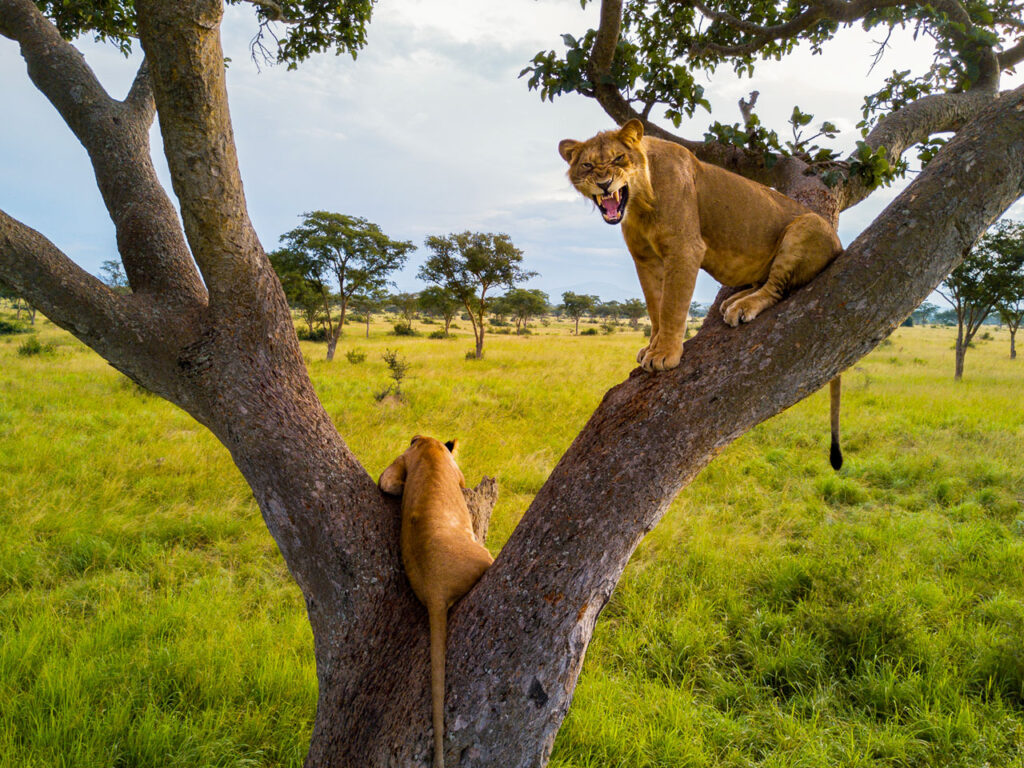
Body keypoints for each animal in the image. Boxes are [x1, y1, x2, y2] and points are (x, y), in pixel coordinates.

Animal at [378, 436, 493, 768]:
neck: (428, 446)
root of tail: (434, 590)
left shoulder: (398, 462)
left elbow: (387, 482)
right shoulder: (457, 473)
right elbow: (463, 480)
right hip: (484, 556)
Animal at [565, 120, 843, 468]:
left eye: (618, 158)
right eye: (587, 165)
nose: (604, 184)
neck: (639, 202)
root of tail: (840, 245)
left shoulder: (685, 249)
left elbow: (672, 307)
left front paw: (664, 355)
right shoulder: (644, 259)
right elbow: (655, 308)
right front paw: (652, 346)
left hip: (806, 224)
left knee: (776, 286)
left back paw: (743, 306)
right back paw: (734, 300)